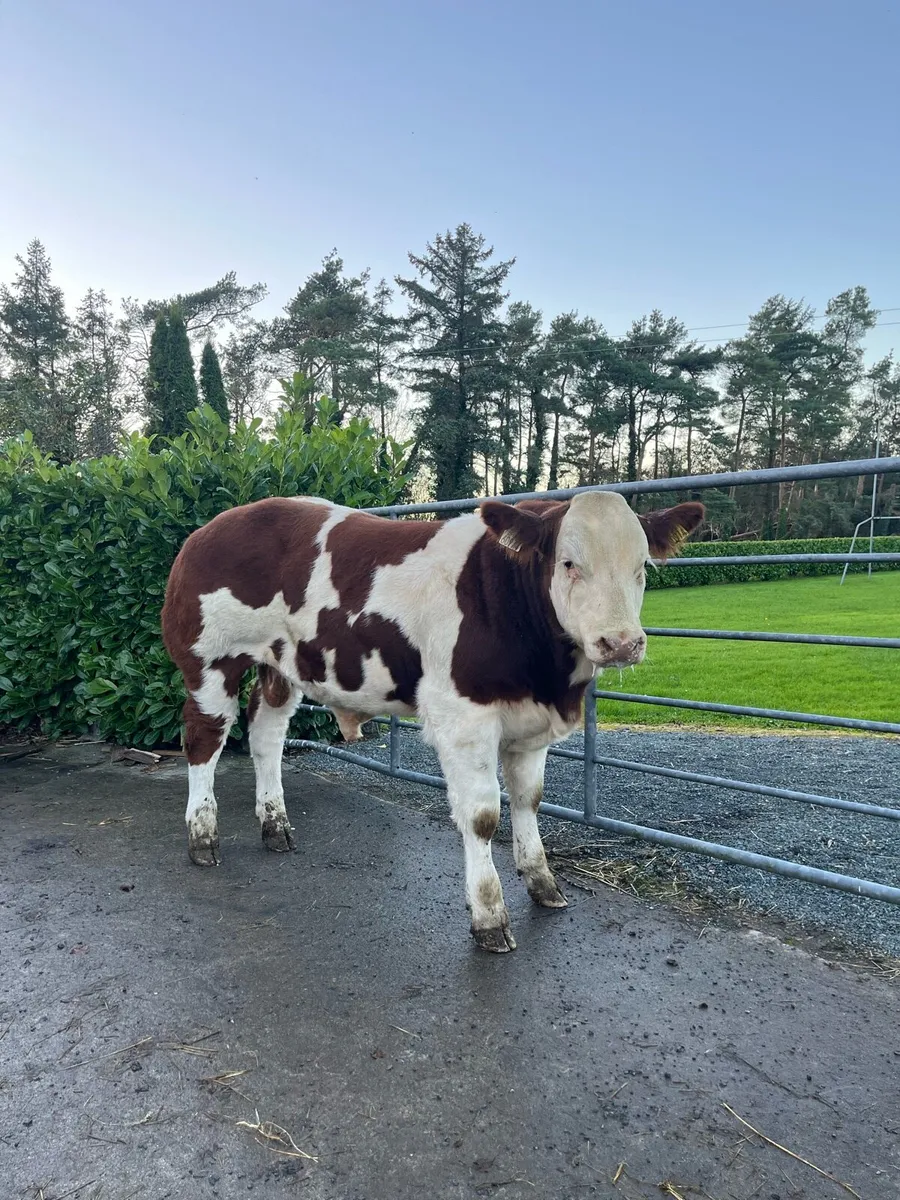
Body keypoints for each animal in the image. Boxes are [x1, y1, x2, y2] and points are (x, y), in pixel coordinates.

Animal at [161, 492, 703, 952]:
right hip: (210, 663)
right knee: (204, 739)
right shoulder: (463, 717)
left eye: (641, 567)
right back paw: (202, 837)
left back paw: (275, 826)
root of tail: (211, 527)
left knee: (266, 735)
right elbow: (483, 816)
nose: (621, 643)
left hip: (281, 665)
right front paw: (489, 917)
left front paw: (543, 883)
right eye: (568, 563)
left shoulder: (531, 726)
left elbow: (529, 799)